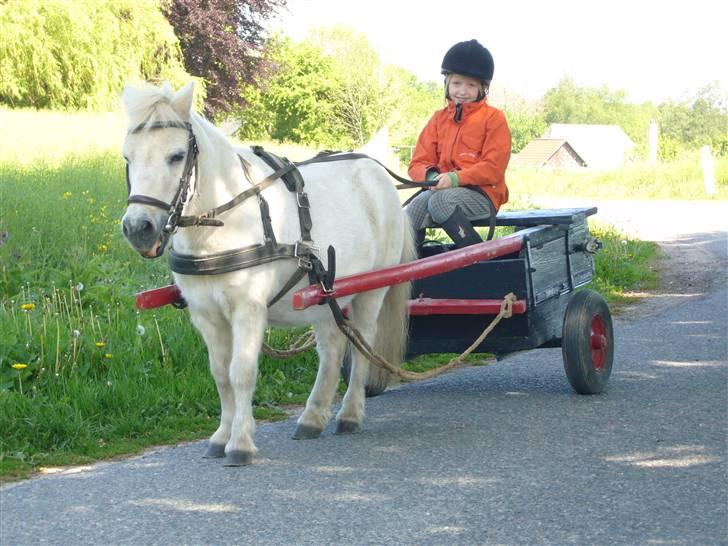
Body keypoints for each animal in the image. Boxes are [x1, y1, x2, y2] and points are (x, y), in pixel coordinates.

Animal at [122, 81, 412, 464]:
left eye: (176, 156)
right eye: (128, 157)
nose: (138, 228)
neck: (222, 223)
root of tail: (373, 166)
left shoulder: (248, 308)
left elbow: (241, 372)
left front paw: (240, 443)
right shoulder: (205, 314)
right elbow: (220, 374)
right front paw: (220, 436)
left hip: (372, 289)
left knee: (362, 340)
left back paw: (349, 414)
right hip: (325, 293)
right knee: (332, 348)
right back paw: (313, 417)